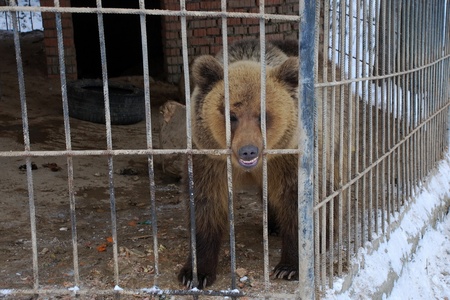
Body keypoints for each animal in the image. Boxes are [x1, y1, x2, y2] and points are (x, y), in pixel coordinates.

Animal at [178, 38, 350, 288]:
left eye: (263, 114)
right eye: (231, 115)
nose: (248, 150)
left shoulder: (289, 157)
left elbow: (296, 200)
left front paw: (289, 266)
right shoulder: (209, 157)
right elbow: (205, 203)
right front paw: (195, 273)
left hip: (336, 130)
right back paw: (274, 226)